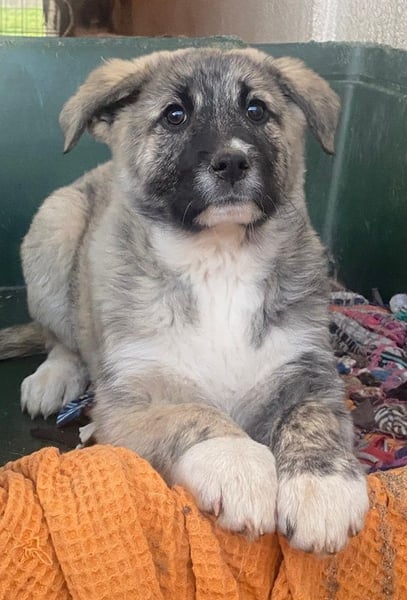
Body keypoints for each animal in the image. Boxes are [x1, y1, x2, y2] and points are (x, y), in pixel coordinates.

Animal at [1, 47, 369, 553]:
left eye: (256, 110)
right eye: (175, 116)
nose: (232, 162)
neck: (219, 260)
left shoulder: (309, 369)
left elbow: (312, 419)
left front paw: (324, 486)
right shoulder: (134, 395)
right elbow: (194, 413)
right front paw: (238, 463)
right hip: (56, 226)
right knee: (63, 339)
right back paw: (54, 378)